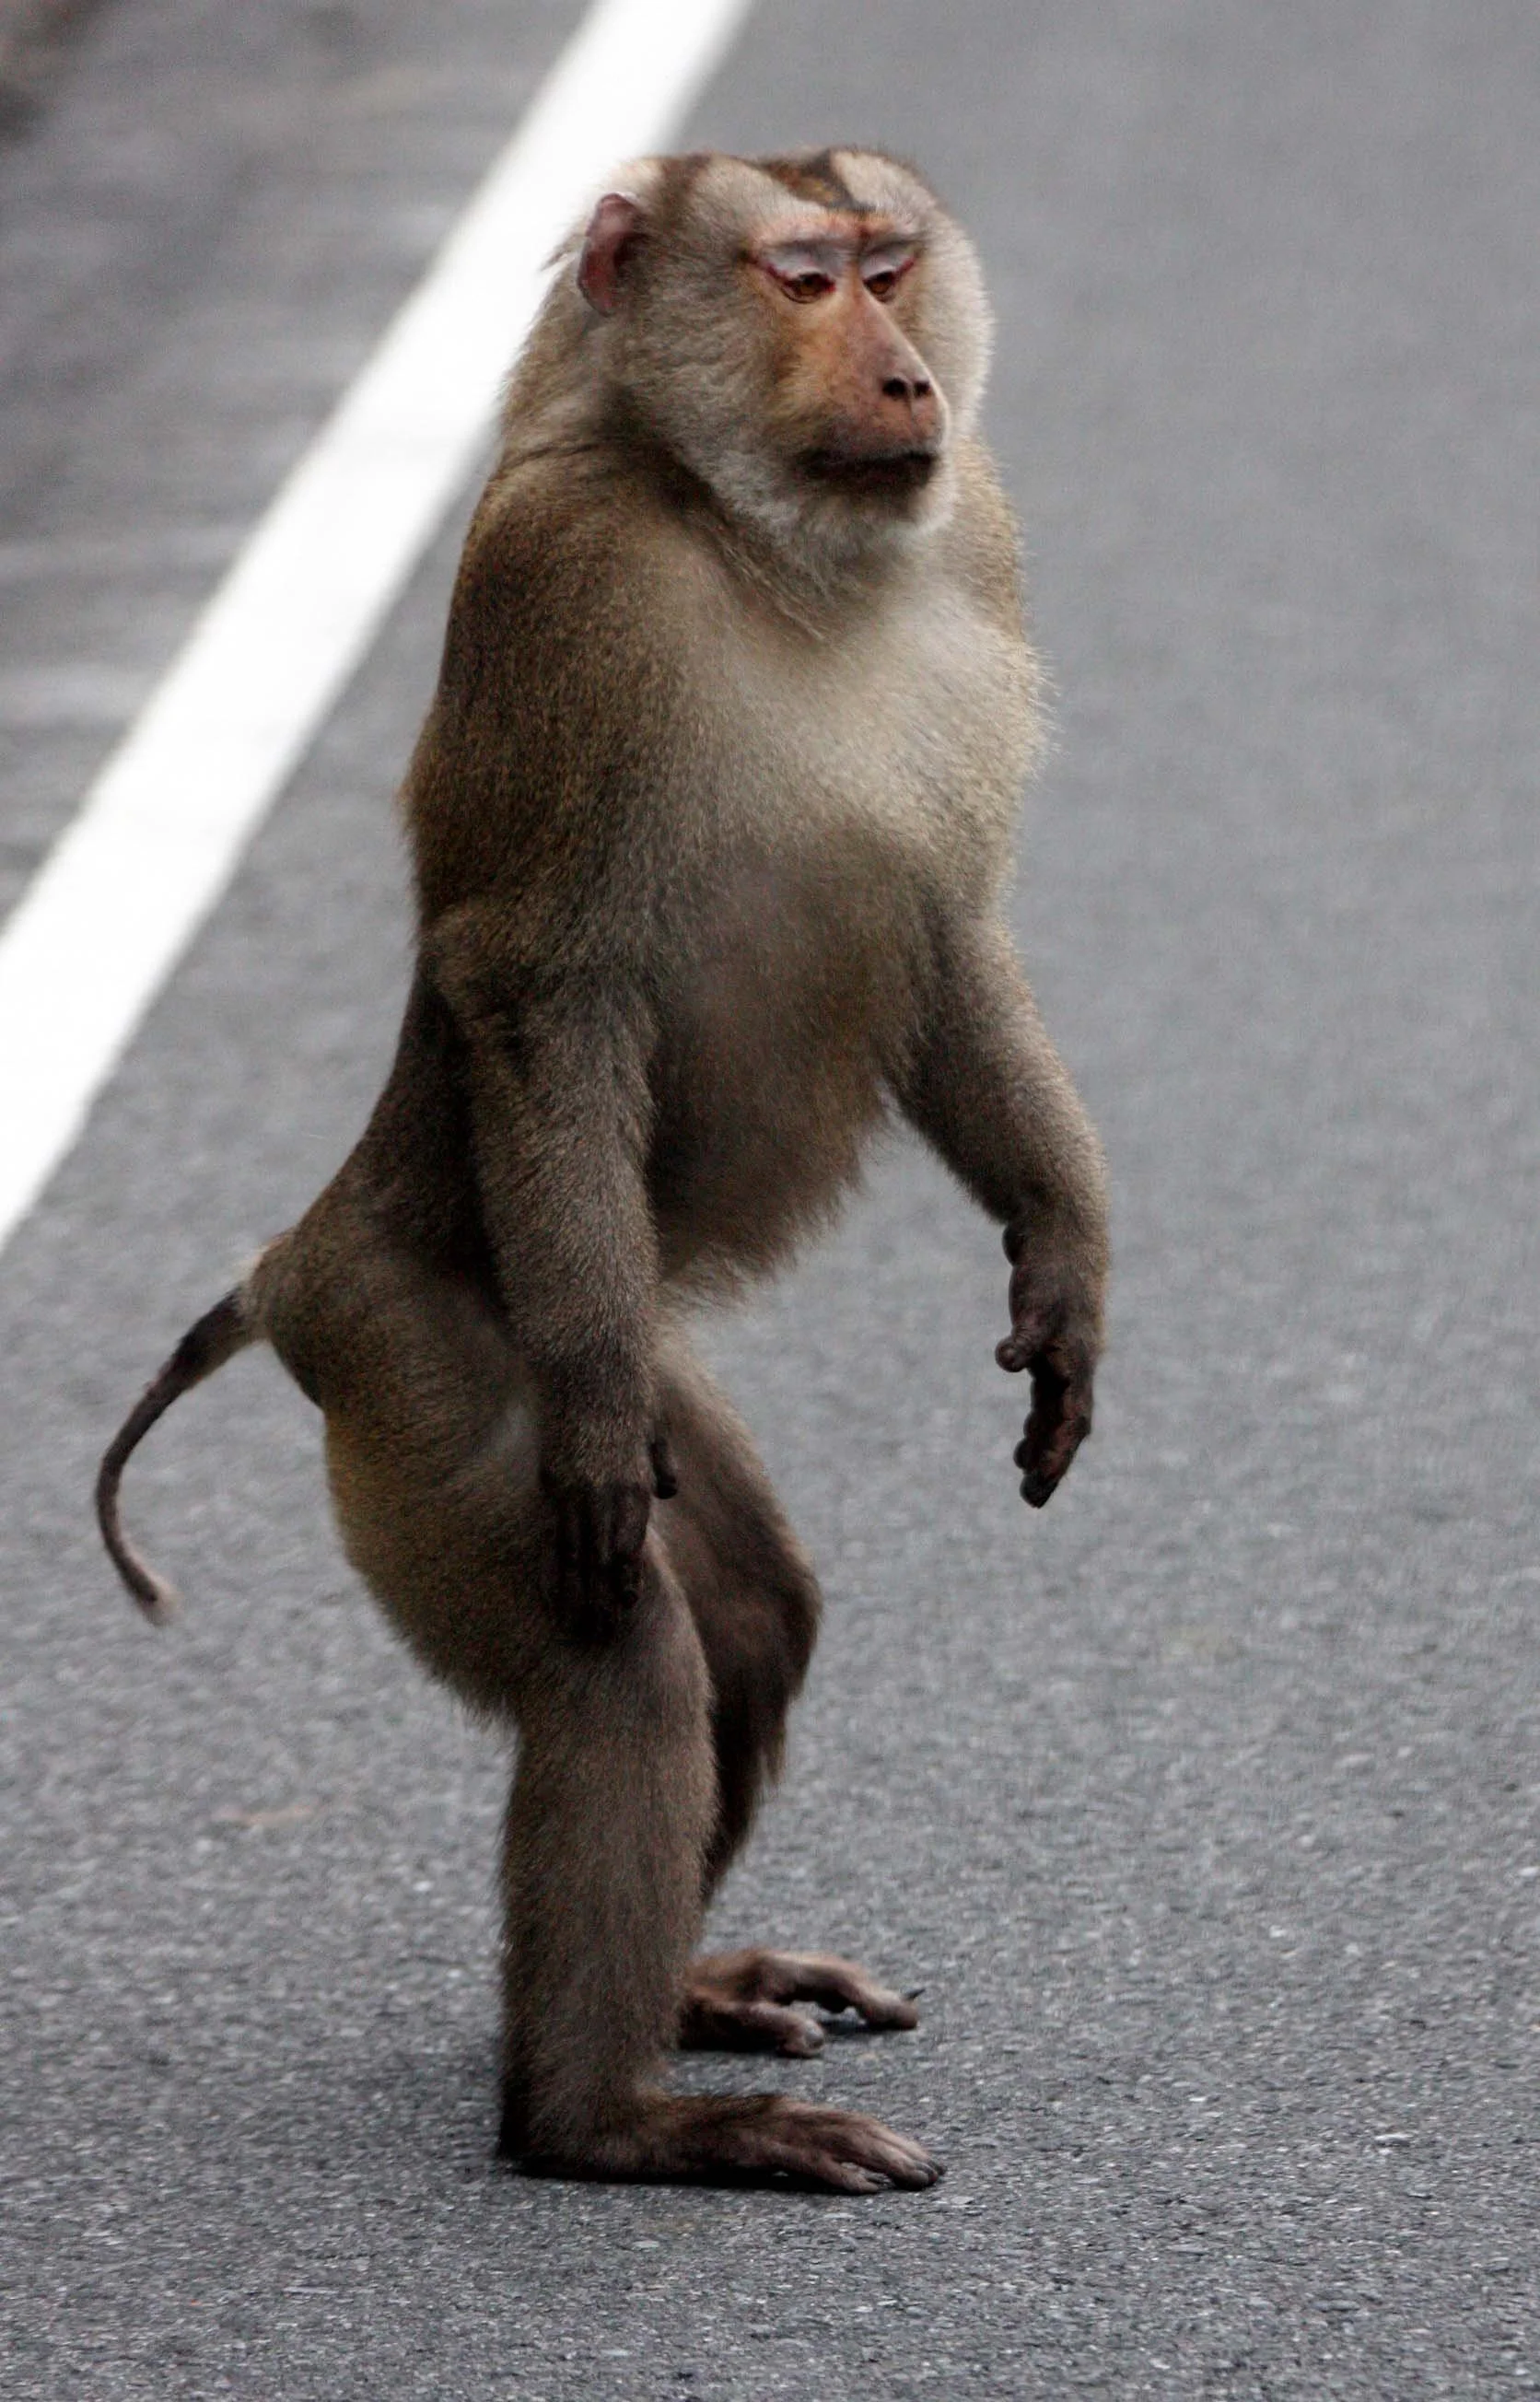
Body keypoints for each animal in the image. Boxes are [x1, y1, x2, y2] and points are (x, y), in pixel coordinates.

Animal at [97, 148, 1109, 2194]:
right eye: (801, 280)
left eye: (890, 266)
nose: (905, 374)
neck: (742, 529)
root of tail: (298, 1258)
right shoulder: (562, 587)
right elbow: (533, 975)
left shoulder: (967, 535)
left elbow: (946, 938)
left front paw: (1061, 1261)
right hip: (434, 1349)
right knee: (627, 1651)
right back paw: (603, 2119)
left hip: (612, 1344)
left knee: (751, 1617)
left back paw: (684, 1999)